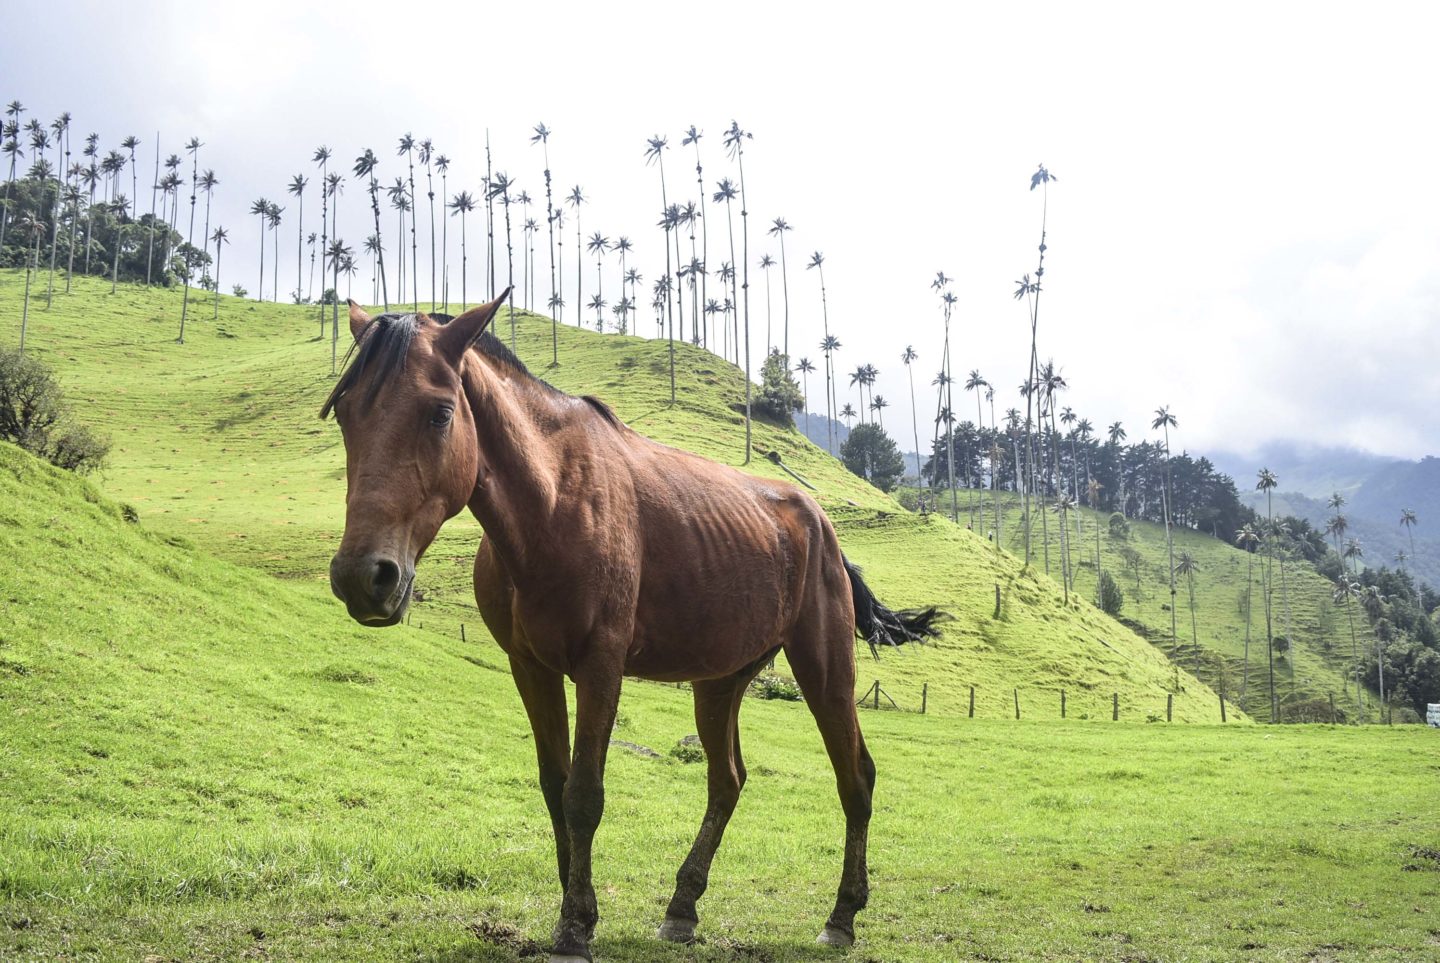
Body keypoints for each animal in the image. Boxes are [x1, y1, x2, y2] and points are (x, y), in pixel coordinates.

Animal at [321, 295, 938, 961]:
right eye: (346, 415)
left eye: (439, 413)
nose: (364, 577)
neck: (553, 503)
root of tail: (821, 525)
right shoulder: (529, 666)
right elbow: (555, 787)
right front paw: (574, 908)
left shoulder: (601, 665)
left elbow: (584, 796)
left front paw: (574, 927)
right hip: (719, 682)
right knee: (726, 782)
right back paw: (682, 909)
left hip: (825, 672)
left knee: (856, 778)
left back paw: (842, 916)